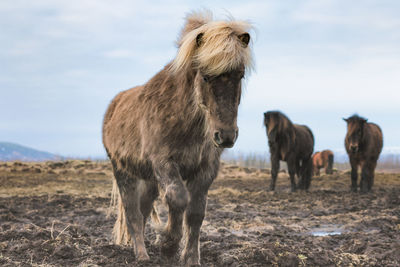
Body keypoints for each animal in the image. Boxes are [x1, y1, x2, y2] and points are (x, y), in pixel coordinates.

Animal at [103, 10, 253, 266]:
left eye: (240, 75)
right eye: (205, 76)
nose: (225, 136)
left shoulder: (205, 170)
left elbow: (195, 213)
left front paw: (191, 258)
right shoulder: (164, 164)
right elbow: (178, 199)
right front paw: (168, 246)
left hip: (148, 180)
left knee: (143, 210)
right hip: (124, 173)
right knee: (133, 214)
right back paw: (142, 255)